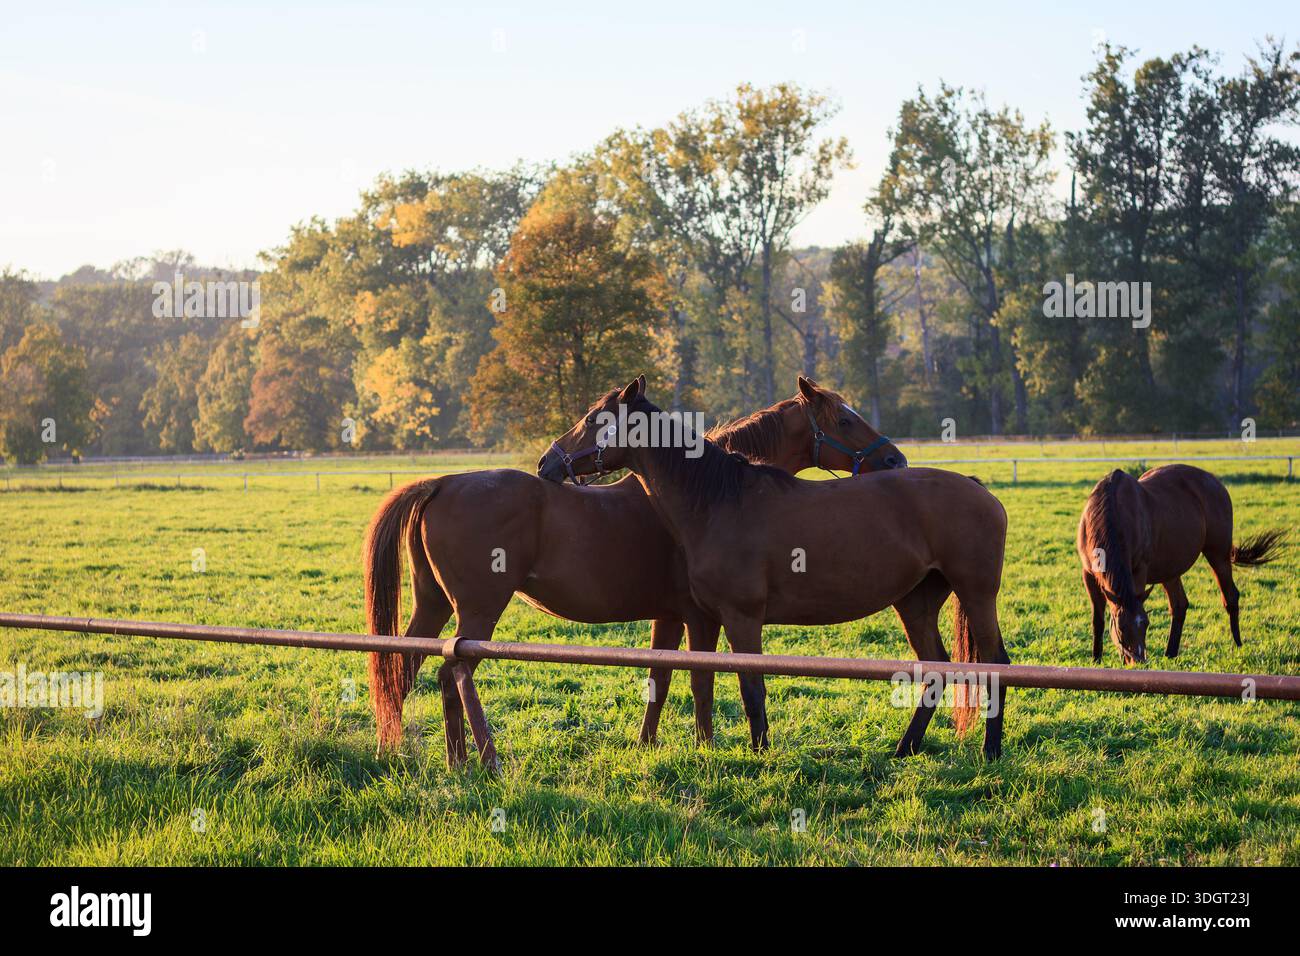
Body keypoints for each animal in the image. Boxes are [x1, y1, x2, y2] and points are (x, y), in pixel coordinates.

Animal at [364, 376, 905, 755]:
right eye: (846, 421)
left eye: (592, 418)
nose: (896, 462)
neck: (702, 494)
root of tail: (442, 482)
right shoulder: (699, 615)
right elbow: (700, 680)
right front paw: (704, 746)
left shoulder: (669, 616)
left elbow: (661, 679)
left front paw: (651, 744)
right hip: (477, 612)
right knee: (450, 675)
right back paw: (471, 758)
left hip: (433, 607)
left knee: (404, 671)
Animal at [539, 377, 1012, 760]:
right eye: (844, 420)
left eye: (592, 419)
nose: (547, 461)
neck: (721, 499)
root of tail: (977, 487)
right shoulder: (703, 617)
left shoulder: (740, 617)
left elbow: (750, 686)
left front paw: (760, 752)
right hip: (915, 603)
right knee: (936, 667)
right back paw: (906, 748)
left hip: (976, 593)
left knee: (995, 662)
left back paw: (989, 750)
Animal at [1077, 465, 1285, 664]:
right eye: (1121, 627)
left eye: (1145, 624)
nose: (1138, 662)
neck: (1110, 511)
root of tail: (1216, 483)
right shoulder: (1088, 574)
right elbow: (1098, 619)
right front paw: (1096, 659)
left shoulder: (1138, 571)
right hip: (1169, 568)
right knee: (1179, 605)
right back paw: (1170, 653)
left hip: (1218, 555)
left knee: (1230, 596)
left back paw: (1238, 644)